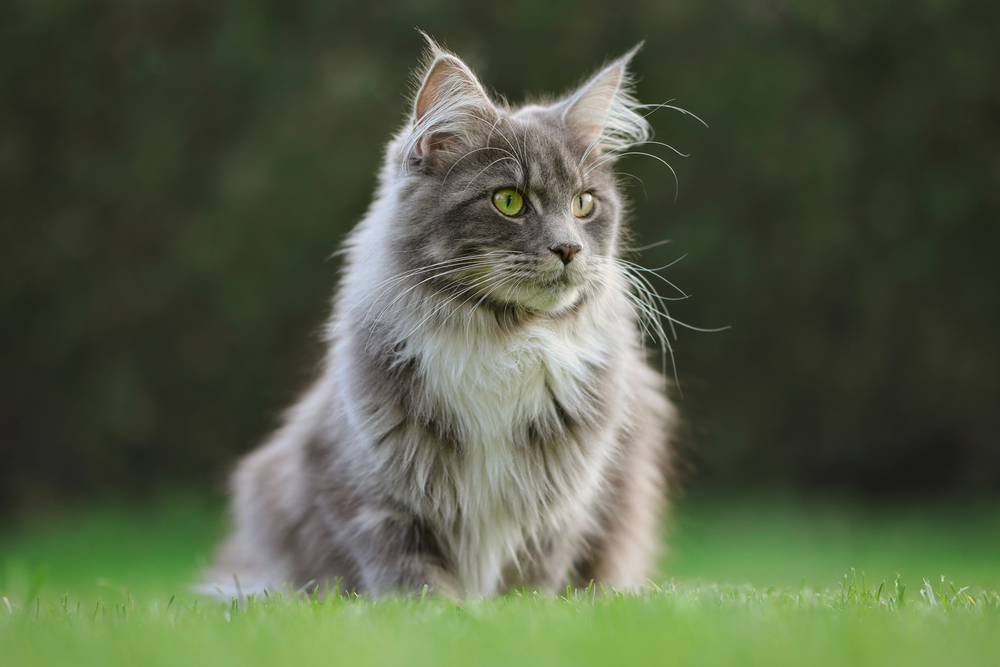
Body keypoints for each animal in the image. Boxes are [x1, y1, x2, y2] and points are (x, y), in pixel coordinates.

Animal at [211, 37, 680, 600]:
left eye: (584, 204)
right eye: (509, 201)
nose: (569, 248)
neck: (507, 340)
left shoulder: (559, 509)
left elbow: (530, 585)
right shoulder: (372, 496)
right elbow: (412, 581)